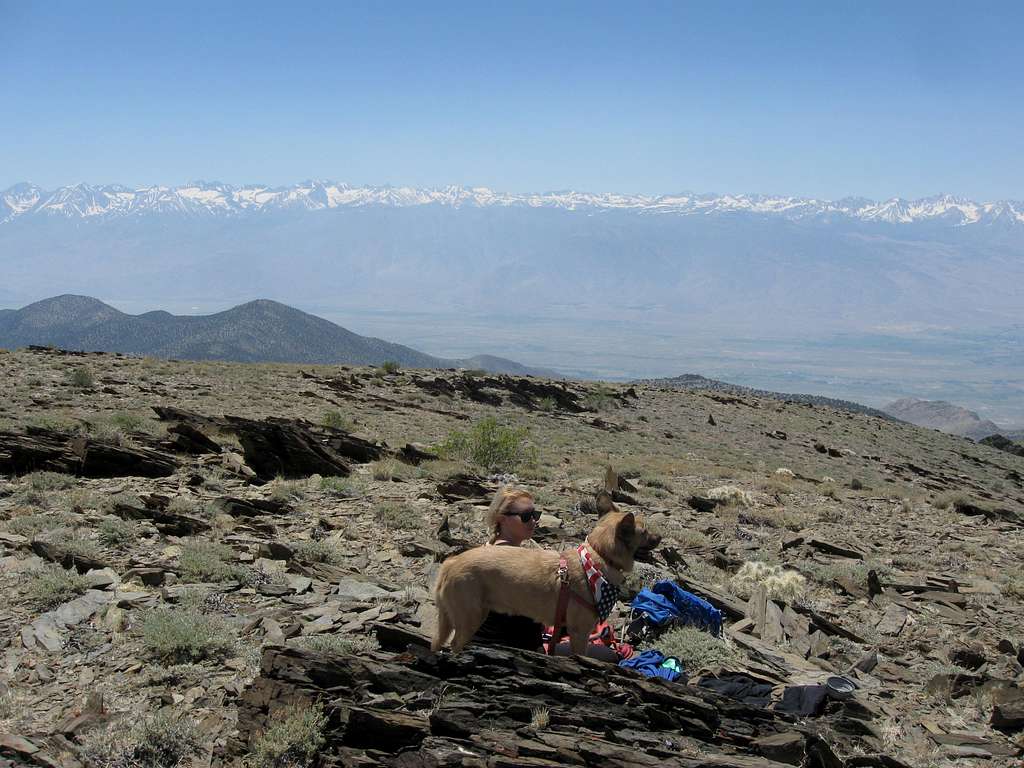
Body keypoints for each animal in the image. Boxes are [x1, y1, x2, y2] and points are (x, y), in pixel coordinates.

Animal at [434, 493, 663, 655]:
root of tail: (450, 563)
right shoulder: (580, 633)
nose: (660, 537)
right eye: (645, 531)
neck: (599, 555)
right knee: (454, 645)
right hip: (470, 618)